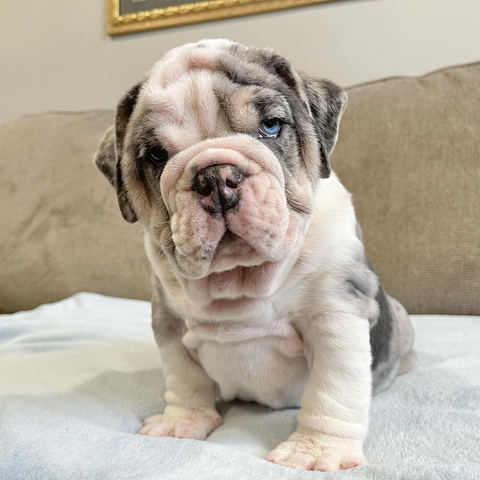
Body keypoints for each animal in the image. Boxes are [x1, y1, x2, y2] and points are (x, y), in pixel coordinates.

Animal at [94, 38, 416, 472]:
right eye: (157, 155)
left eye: (272, 125)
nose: (216, 177)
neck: (240, 280)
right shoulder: (169, 323)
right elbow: (184, 379)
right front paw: (182, 422)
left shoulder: (336, 313)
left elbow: (332, 391)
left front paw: (315, 451)